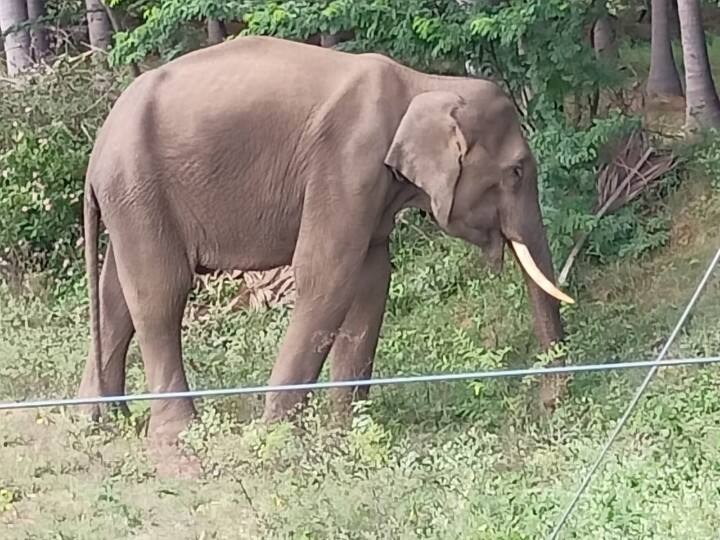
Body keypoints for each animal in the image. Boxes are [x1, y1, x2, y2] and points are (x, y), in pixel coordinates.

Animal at [79, 35, 572, 446]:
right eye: (516, 171)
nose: (548, 404)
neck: (426, 83)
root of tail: (98, 147)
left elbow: (373, 280)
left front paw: (348, 429)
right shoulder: (348, 161)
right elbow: (327, 273)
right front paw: (276, 436)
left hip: (130, 198)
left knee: (115, 297)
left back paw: (97, 423)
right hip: (139, 185)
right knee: (160, 294)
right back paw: (178, 435)